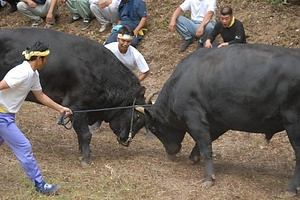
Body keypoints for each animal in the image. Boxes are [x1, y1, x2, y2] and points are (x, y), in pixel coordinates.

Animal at [144, 43, 300, 195]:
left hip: (293, 122)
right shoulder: (219, 121)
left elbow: (205, 145)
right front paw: (194, 156)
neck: (179, 81)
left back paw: (291, 189)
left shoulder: (194, 116)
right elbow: (207, 140)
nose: (170, 151)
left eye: (153, 127)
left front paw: (208, 177)